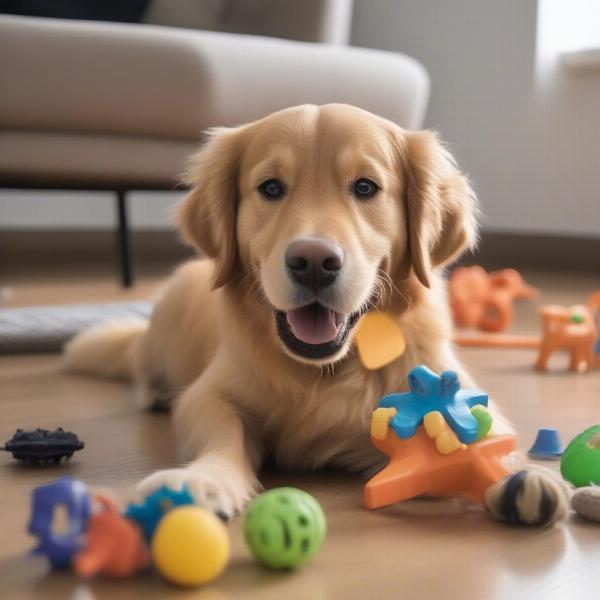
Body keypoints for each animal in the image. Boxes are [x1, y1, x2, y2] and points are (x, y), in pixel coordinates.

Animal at [65, 103, 568, 524]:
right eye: (270, 188)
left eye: (365, 187)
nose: (312, 262)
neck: (322, 371)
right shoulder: (210, 394)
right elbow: (223, 430)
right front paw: (202, 481)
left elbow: (483, 432)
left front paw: (516, 475)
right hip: (166, 324)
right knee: (139, 362)